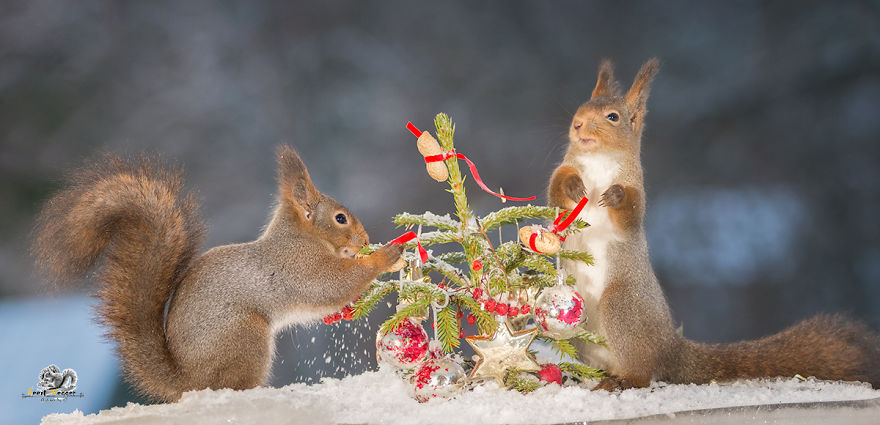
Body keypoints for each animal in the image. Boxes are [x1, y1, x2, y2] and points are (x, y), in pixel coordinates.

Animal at [32, 146, 404, 402]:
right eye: (340, 219)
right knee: (234, 385)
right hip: (245, 336)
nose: (365, 240)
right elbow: (333, 286)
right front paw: (385, 256)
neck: (300, 237)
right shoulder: (301, 266)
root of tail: (187, 381)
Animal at [548, 58, 880, 391]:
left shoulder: (635, 189)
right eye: (581, 107)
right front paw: (573, 184)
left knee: (642, 373)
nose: (577, 124)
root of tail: (670, 348)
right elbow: (556, 192)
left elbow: (629, 216)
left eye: (613, 117)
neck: (599, 160)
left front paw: (615, 195)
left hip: (622, 305)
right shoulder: (565, 179)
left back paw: (622, 381)